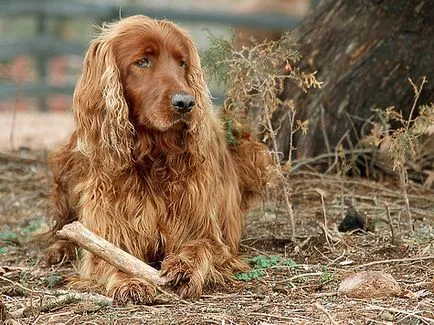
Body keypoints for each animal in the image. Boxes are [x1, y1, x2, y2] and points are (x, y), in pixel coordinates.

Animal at [45, 15, 268, 304]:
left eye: (182, 63)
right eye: (143, 62)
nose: (186, 103)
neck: (152, 158)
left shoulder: (207, 233)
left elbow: (201, 247)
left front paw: (184, 267)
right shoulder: (110, 230)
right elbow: (111, 256)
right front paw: (129, 281)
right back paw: (59, 247)